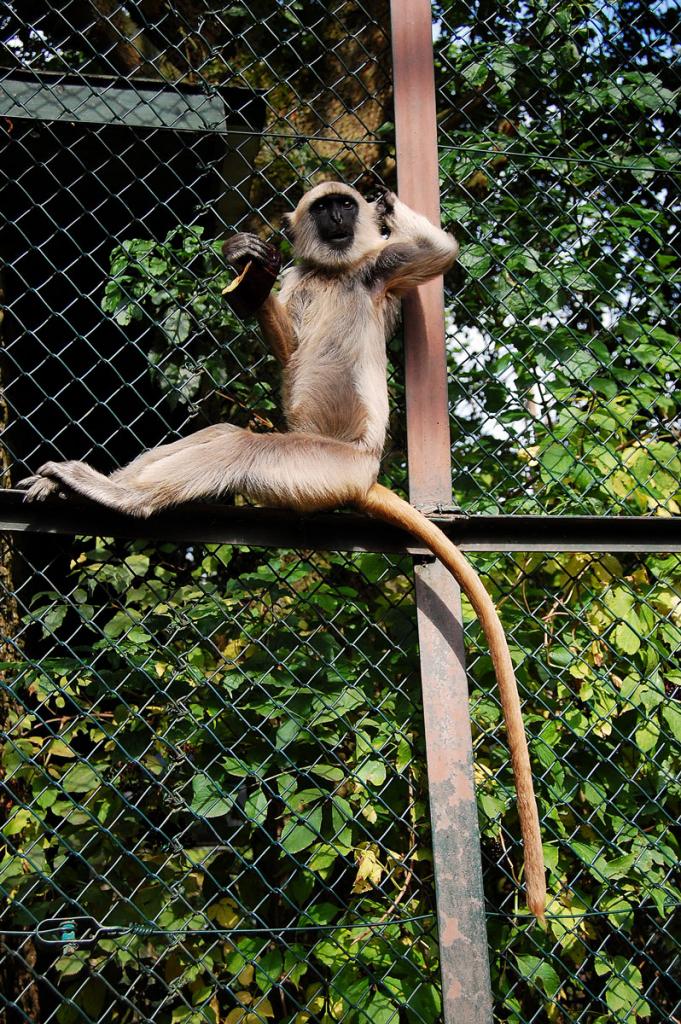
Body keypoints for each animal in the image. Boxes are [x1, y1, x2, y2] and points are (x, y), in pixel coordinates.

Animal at [18, 182, 546, 918]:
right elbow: (287, 335)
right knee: (223, 436)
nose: (342, 217)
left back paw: (119, 498)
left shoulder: (380, 270)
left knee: (239, 446)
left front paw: (389, 203)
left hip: (317, 470)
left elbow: (439, 253)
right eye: (324, 209)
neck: (330, 273)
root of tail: (364, 476)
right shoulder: (302, 278)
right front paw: (248, 284)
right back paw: (79, 488)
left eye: (342, 207)